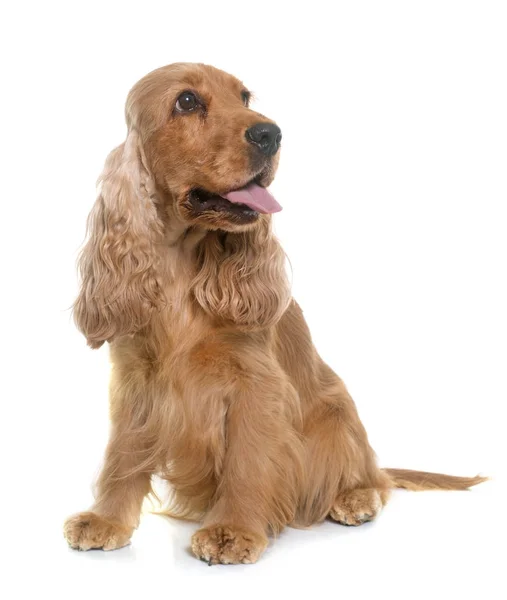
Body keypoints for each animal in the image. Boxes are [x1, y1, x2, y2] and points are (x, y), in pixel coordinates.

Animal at [64, 63, 488, 564]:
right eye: (186, 102)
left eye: (245, 97)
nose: (271, 134)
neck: (178, 266)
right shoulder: (134, 378)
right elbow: (123, 457)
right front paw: (105, 520)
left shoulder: (256, 382)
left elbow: (247, 461)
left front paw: (232, 530)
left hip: (337, 416)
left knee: (370, 476)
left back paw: (355, 497)